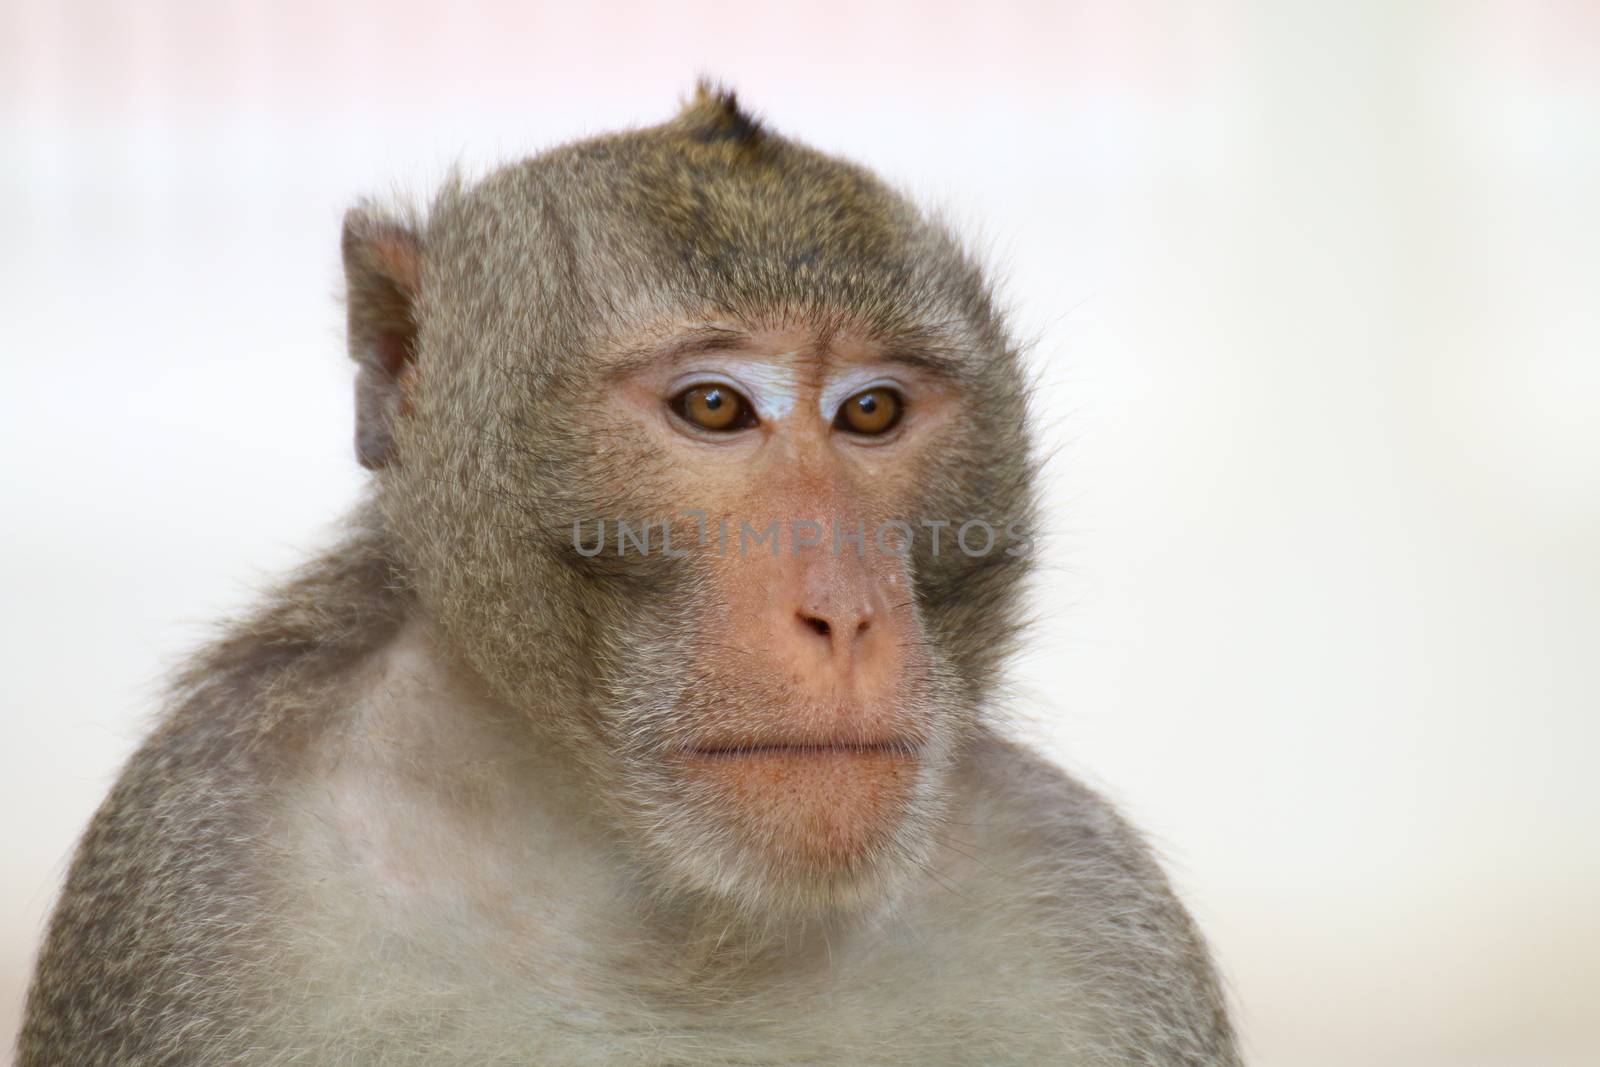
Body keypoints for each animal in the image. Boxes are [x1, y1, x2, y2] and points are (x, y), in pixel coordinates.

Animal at [15, 85, 1235, 1067]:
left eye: (872, 411)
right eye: (715, 406)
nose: (845, 613)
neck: (675, 908)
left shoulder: (1093, 912)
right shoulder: (193, 868)